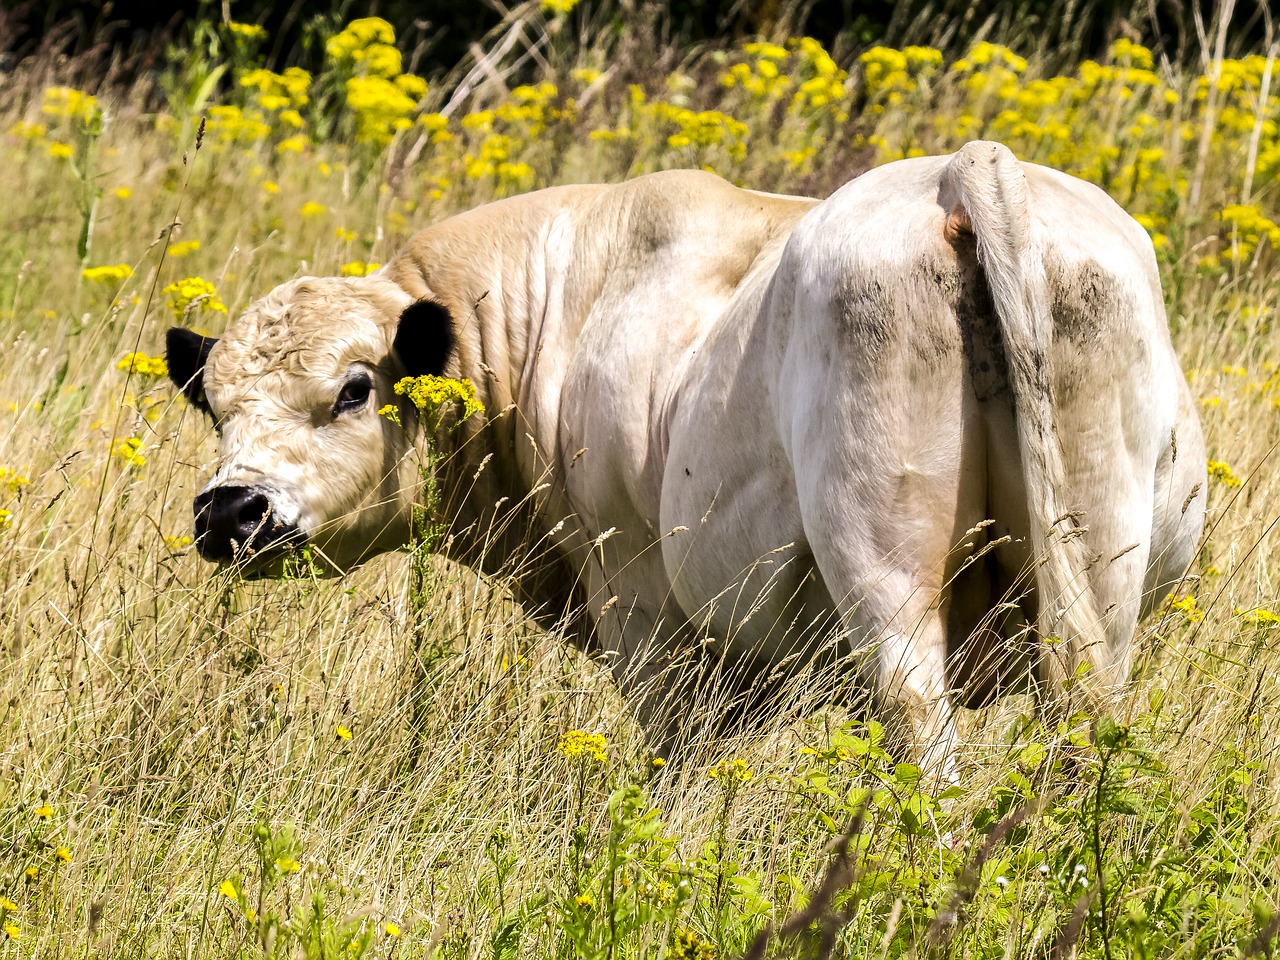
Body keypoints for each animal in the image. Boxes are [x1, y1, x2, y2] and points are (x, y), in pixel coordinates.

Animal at [165, 142, 1203, 773]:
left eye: (354, 389)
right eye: (212, 404)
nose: (229, 511)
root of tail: (959, 170)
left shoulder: (647, 618)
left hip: (883, 570)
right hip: (1097, 575)